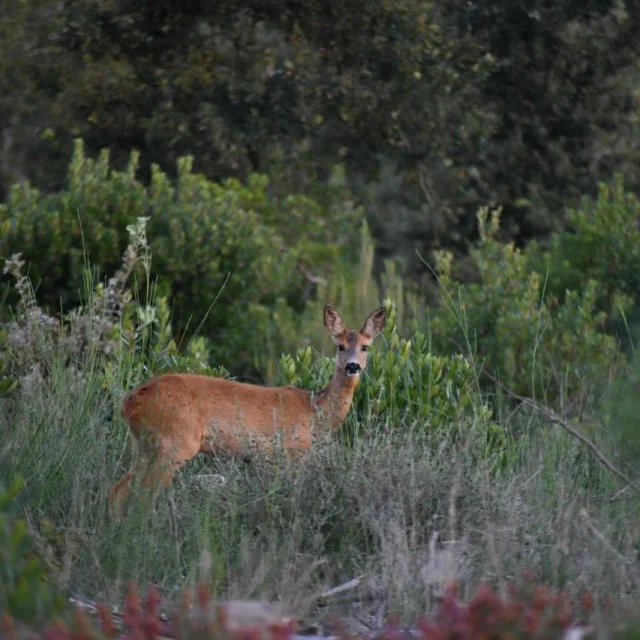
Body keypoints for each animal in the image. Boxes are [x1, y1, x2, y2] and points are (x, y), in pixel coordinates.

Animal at [109, 302, 384, 516]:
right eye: (339, 346)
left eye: (365, 347)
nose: (352, 366)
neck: (315, 411)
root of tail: (129, 401)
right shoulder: (287, 453)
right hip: (174, 443)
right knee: (142, 498)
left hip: (145, 445)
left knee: (118, 491)